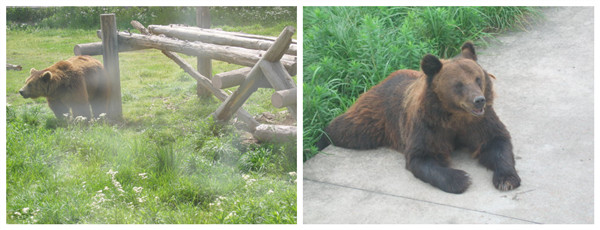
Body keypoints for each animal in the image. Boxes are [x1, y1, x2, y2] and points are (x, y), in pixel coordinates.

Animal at [318, 42, 520, 193]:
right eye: (459, 84)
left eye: (478, 79)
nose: (479, 100)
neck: (453, 114)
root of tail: (386, 78)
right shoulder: (428, 126)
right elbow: (422, 157)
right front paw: (461, 178)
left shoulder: (479, 122)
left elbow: (496, 141)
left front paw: (507, 179)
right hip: (374, 115)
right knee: (348, 129)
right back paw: (322, 138)